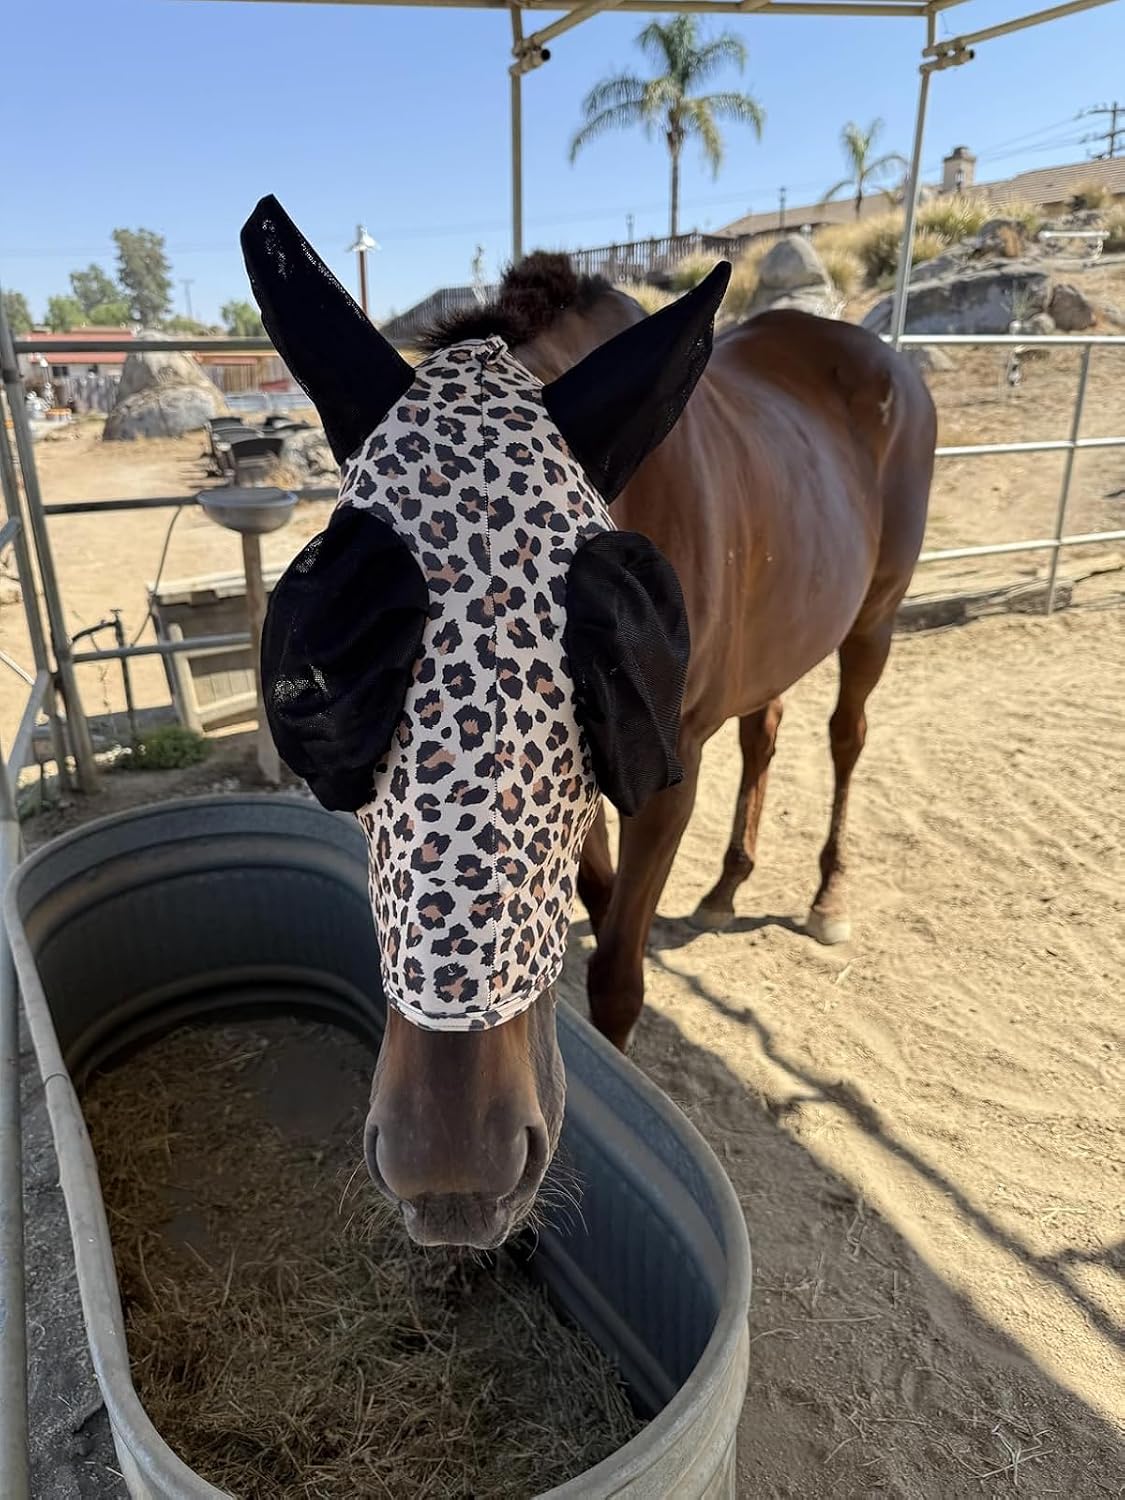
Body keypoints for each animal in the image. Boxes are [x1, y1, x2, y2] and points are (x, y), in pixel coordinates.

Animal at [241, 199, 934, 1248]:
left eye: (586, 679)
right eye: (324, 688)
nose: (452, 1175)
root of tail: (877, 354)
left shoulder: (659, 765)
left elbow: (615, 969)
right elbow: (600, 907)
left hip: (876, 615)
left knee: (846, 736)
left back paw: (827, 893)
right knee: (766, 729)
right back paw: (728, 884)